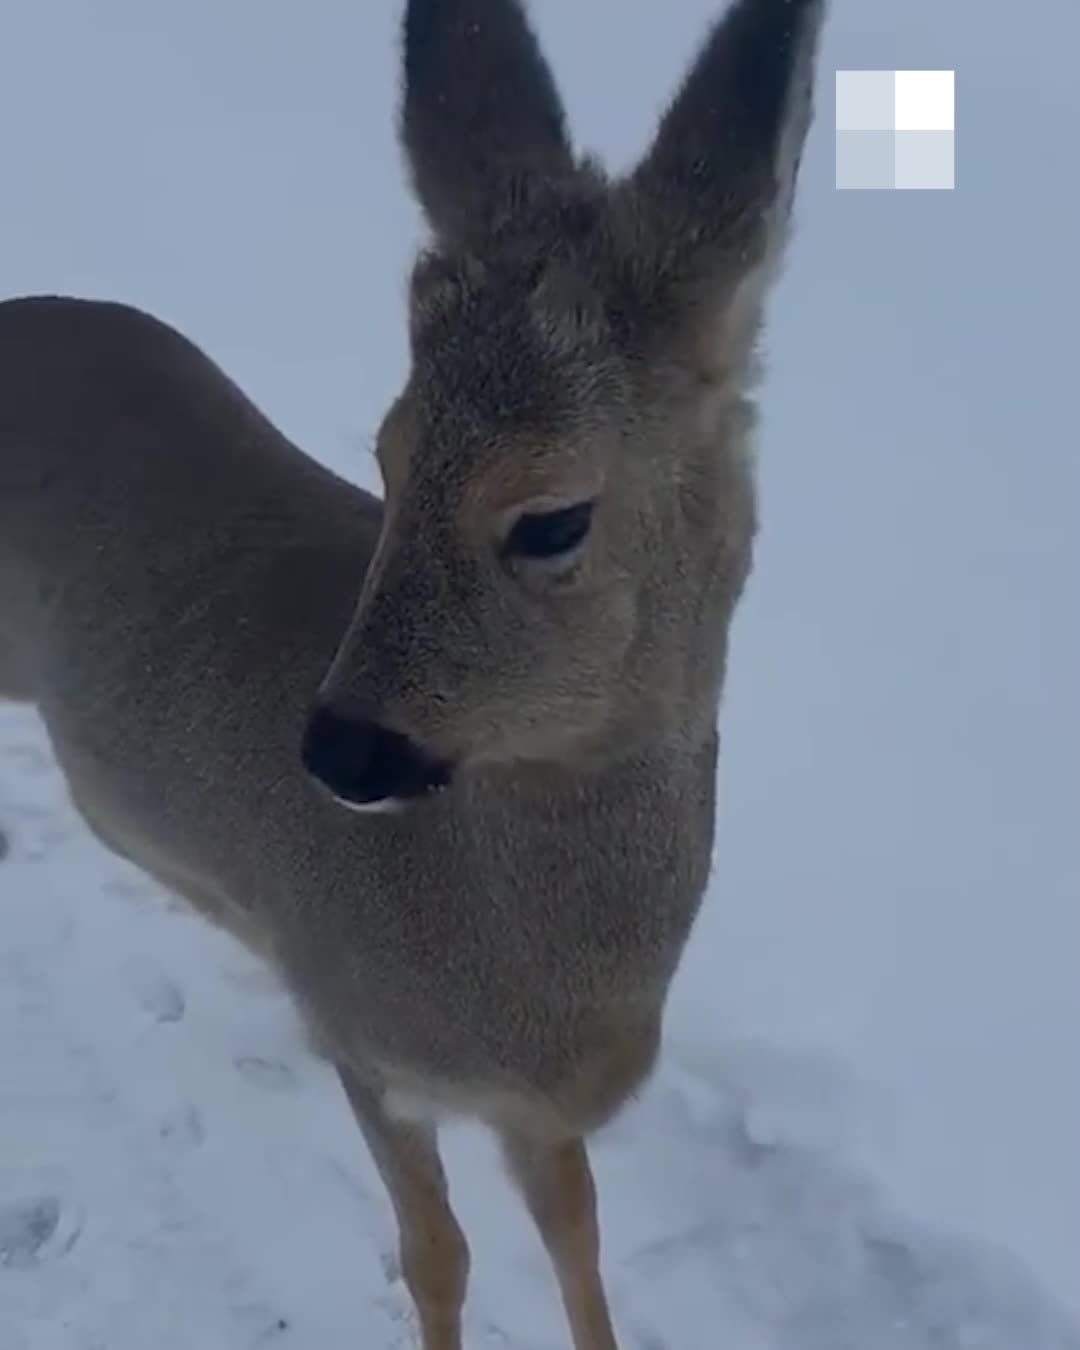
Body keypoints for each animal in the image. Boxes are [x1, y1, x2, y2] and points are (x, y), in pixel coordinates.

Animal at [2, 2, 826, 1350]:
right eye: (387, 454)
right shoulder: (359, 1032)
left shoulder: (535, 1109)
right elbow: (435, 1253)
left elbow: (579, 1234)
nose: (338, 748)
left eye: (551, 517)